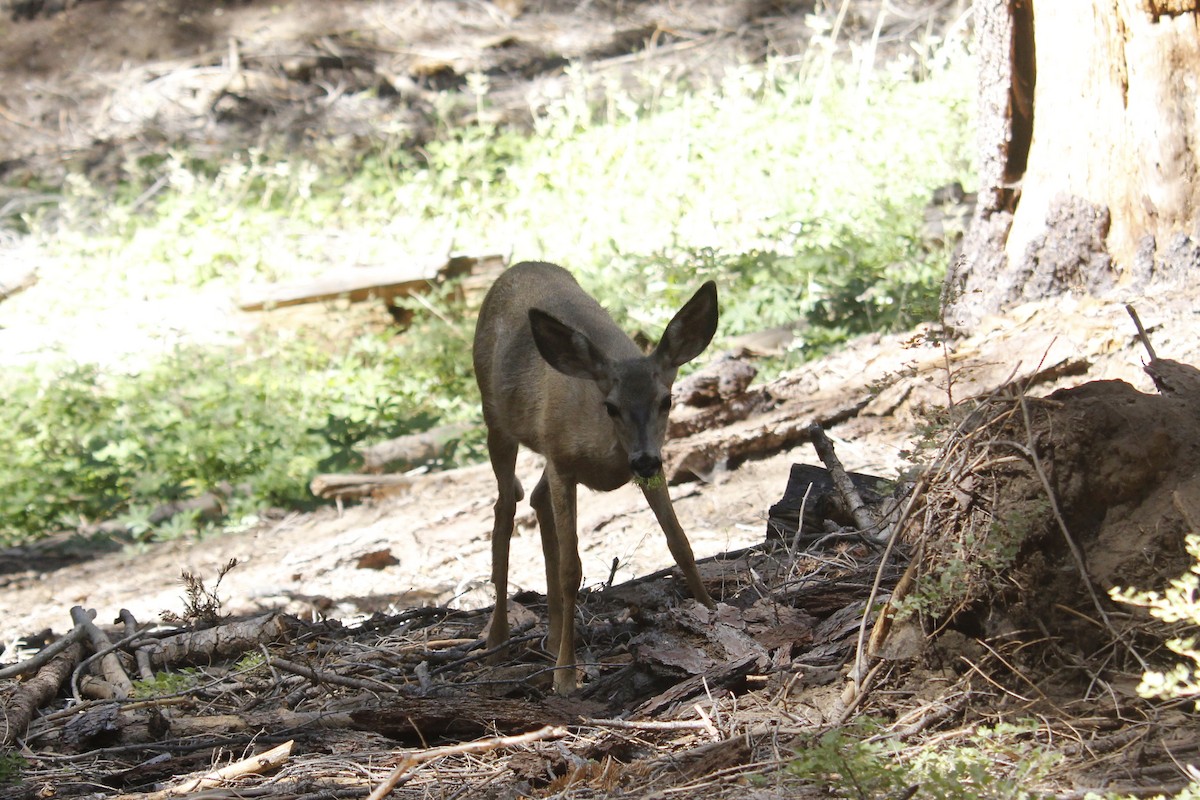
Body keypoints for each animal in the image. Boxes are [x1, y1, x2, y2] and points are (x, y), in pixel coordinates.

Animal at [473, 261, 719, 695]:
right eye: (612, 406)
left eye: (667, 400)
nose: (643, 460)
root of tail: (516, 267)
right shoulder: (562, 461)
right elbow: (572, 569)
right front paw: (566, 675)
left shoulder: (648, 468)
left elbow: (680, 543)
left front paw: (711, 612)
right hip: (496, 420)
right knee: (505, 508)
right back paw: (498, 640)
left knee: (534, 498)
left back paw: (553, 636)